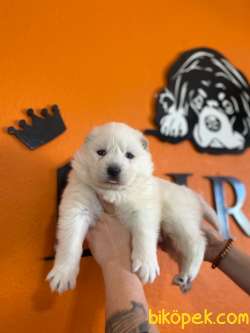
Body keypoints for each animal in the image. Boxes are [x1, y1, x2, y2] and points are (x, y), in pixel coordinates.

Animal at [46, 121, 219, 290]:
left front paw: (147, 265)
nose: (114, 169)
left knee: (198, 242)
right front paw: (63, 275)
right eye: (101, 152)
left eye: (129, 155)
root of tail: (193, 194)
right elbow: (70, 242)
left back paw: (189, 272)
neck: (113, 192)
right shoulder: (76, 207)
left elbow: (144, 234)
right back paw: (183, 276)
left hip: (179, 219)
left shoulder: (143, 209)